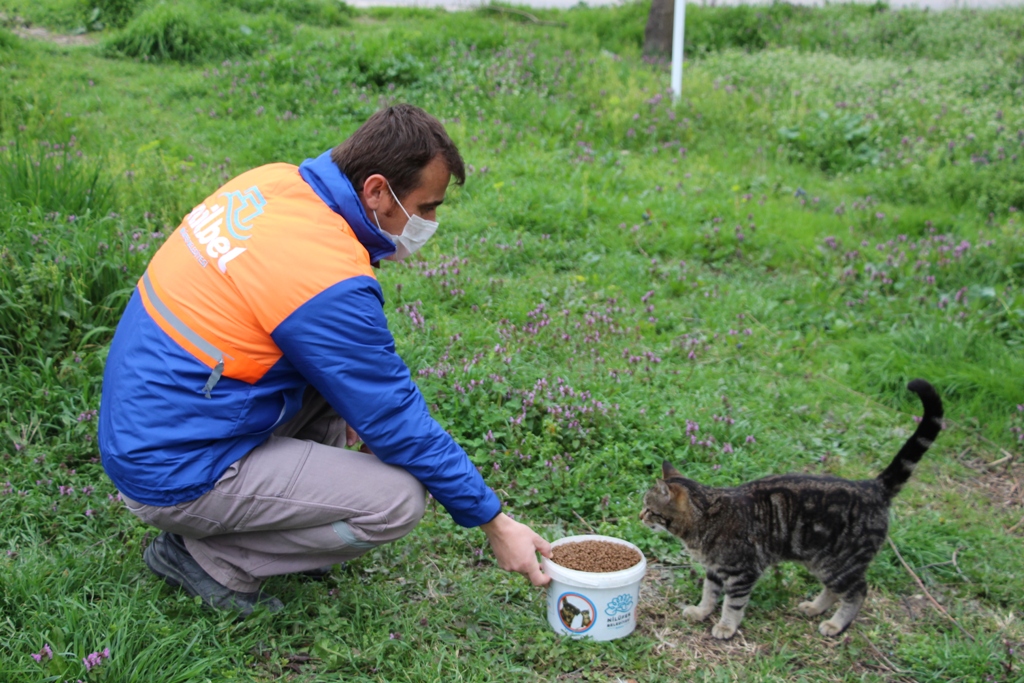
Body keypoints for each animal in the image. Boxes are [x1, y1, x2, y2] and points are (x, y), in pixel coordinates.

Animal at [638, 378, 942, 643]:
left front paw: (726, 627)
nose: (639, 516)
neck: (707, 516)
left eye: (648, 508)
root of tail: (873, 486)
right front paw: (701, 611)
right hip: (822, 562)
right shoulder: (714, 569)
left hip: (841, 563)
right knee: (835, 591)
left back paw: (836, 624)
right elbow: (709, 593)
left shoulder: (742, 572)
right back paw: (815, 608)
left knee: (858, 592)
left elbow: (732, 605)